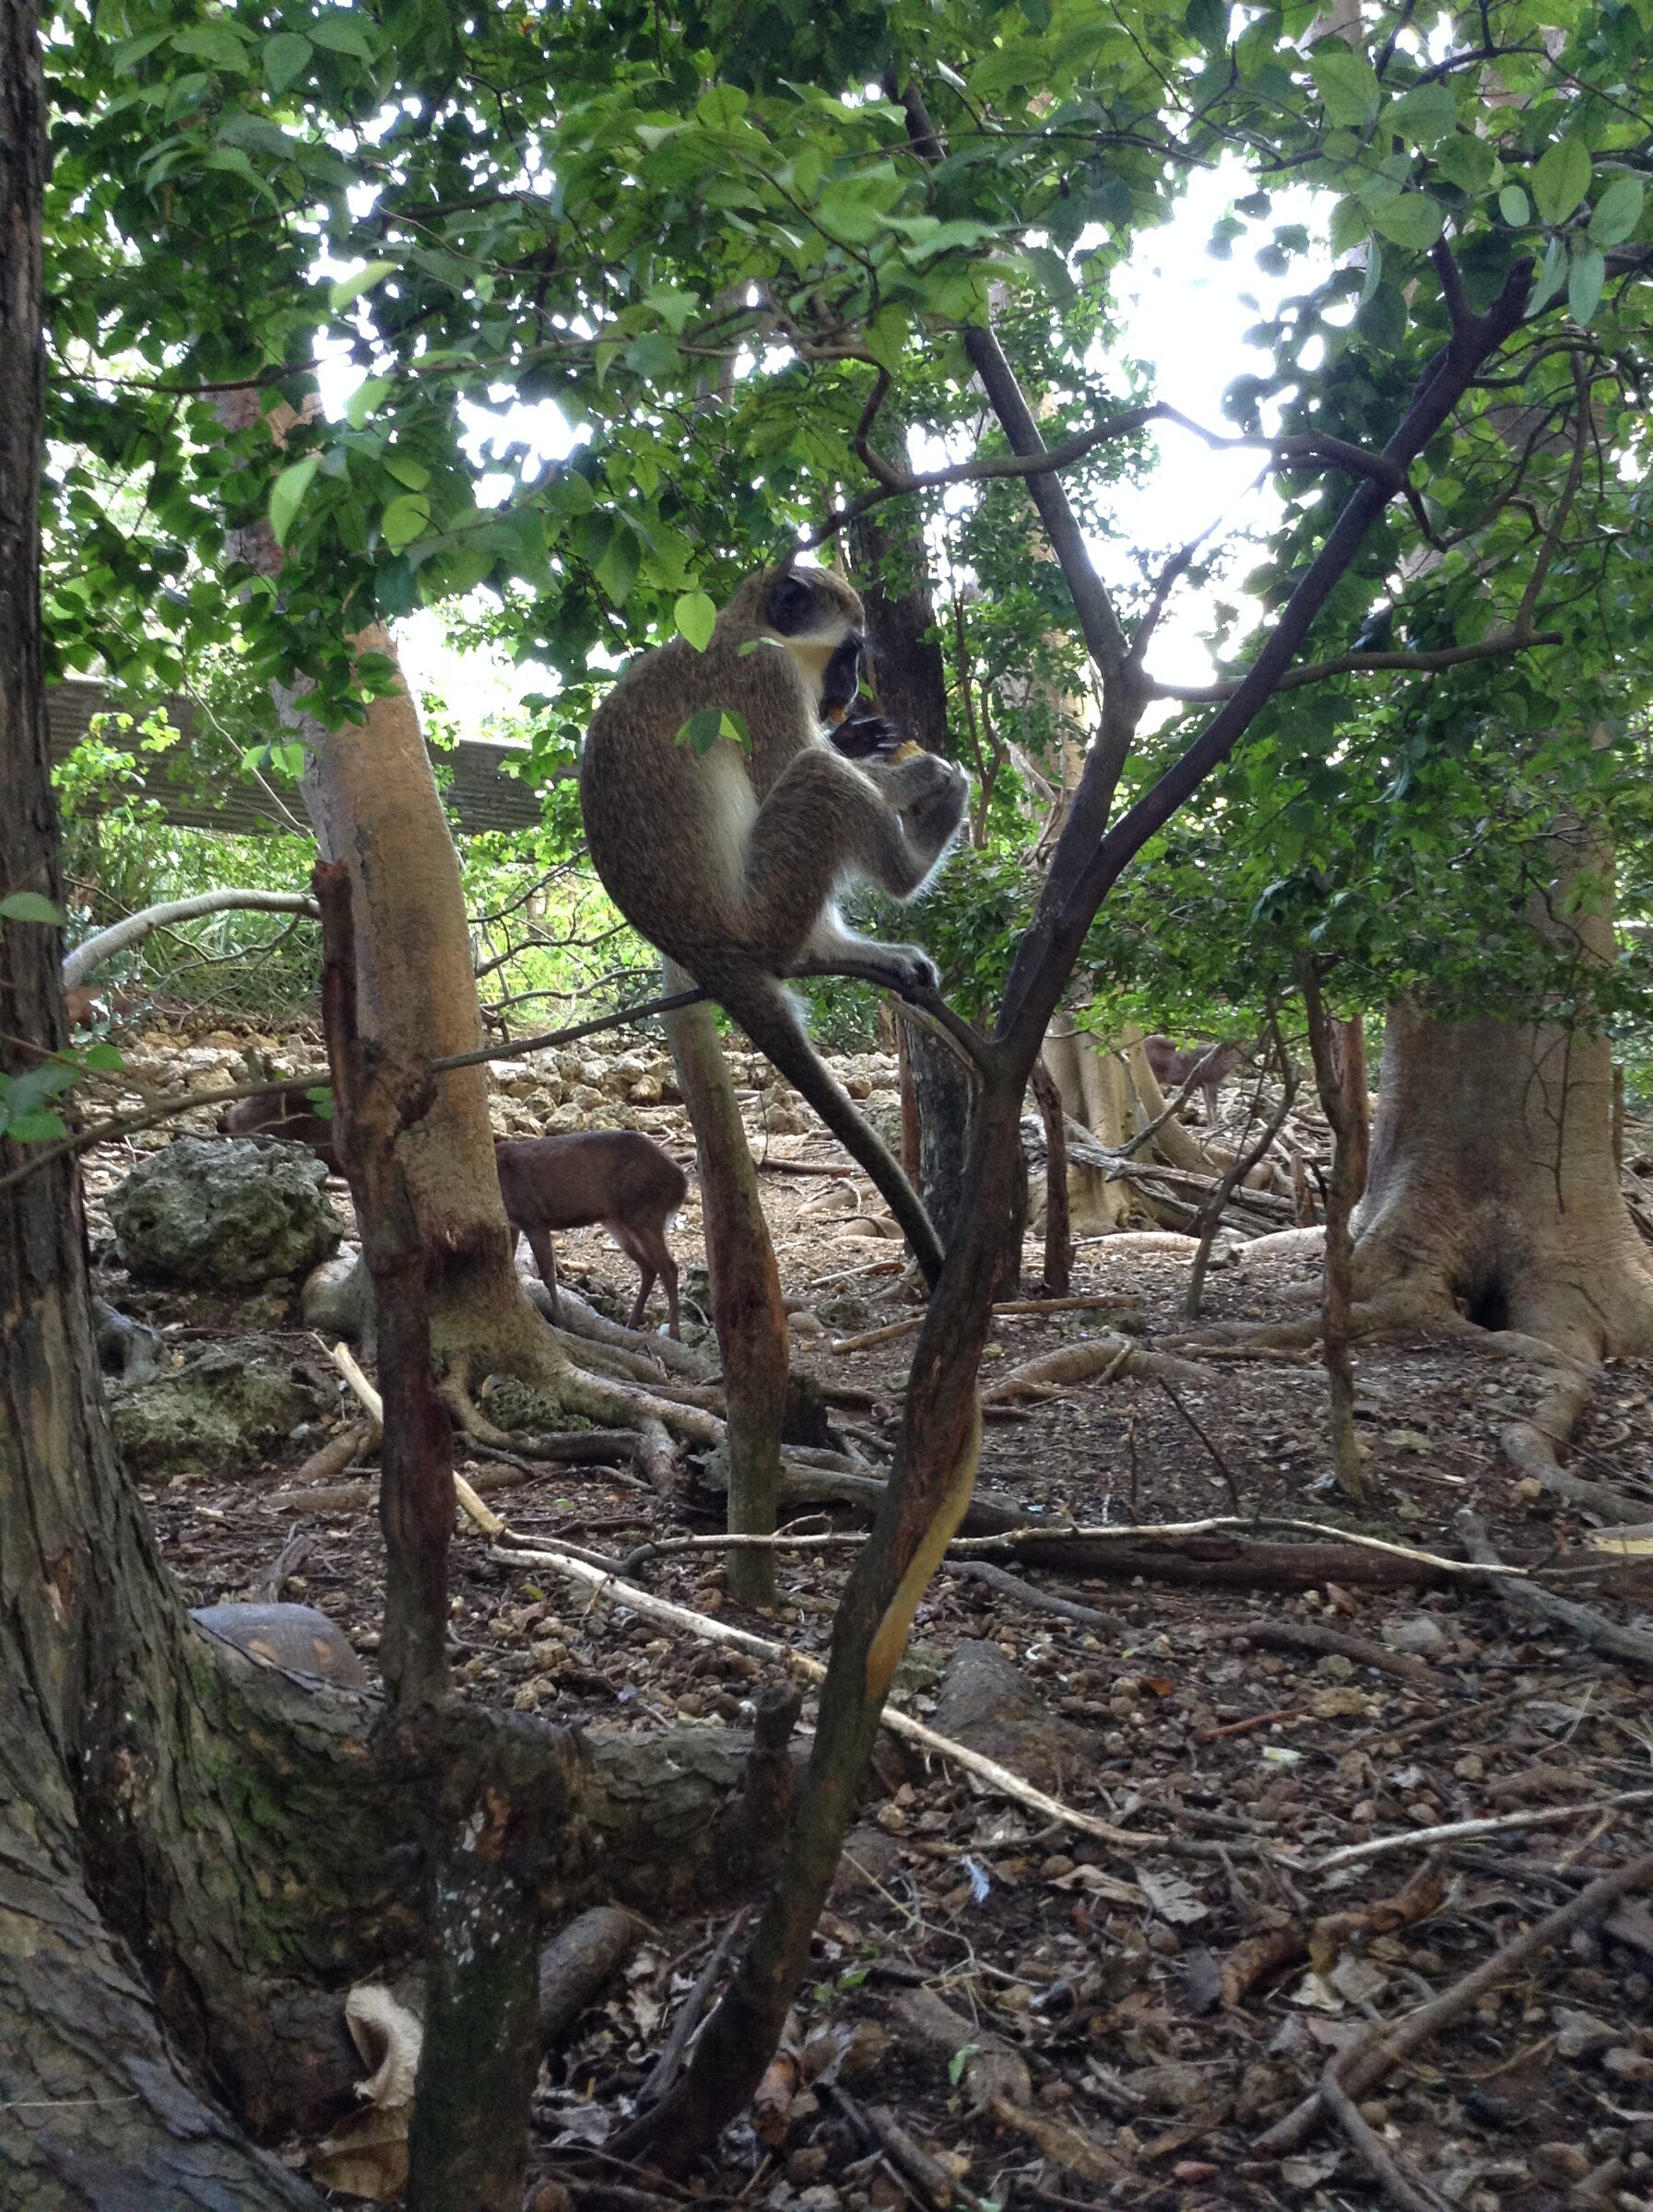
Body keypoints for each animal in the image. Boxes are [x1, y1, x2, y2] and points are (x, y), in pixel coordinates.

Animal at [579, 565, 969, 1285]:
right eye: (848, 653)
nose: (849, 690)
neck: (740, 625)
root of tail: (708, 952)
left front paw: (859, 737)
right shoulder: (763, 675)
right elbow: (784, 763)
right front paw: (913, 774)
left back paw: (851, 949)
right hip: (766, 909)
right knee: (816, 775)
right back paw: (915, 857)